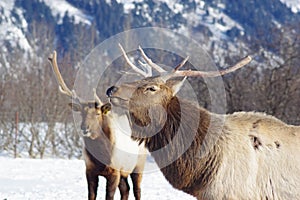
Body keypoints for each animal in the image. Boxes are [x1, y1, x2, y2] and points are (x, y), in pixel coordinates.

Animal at [47, 50, 147, 199]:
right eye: (81, 112)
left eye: (98, 113)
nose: (84, 128)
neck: (101, 156)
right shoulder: (90, 170)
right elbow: (91, 195)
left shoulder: (114, 172)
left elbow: (109, 196)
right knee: (126, 189)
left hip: (138, 165)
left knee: (137, 190)